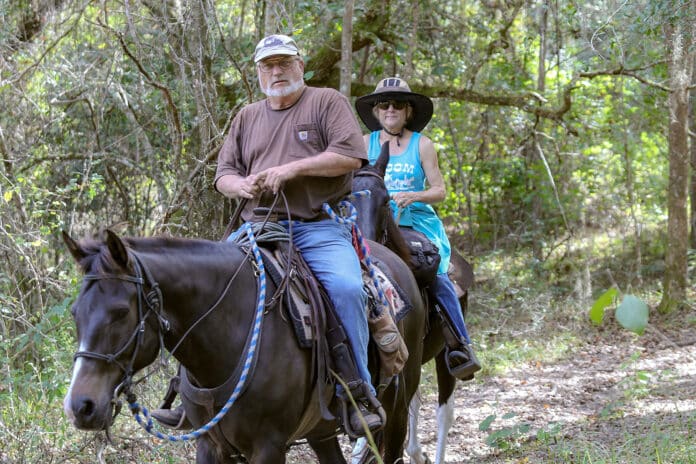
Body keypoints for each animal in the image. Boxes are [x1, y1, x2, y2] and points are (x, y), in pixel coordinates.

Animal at [62, 228, 426, 464]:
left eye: (121, 313)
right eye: (75, 312)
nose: (80, 406)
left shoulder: (269, 447)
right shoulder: (210, 445)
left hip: (396, 412)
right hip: (321, 431)